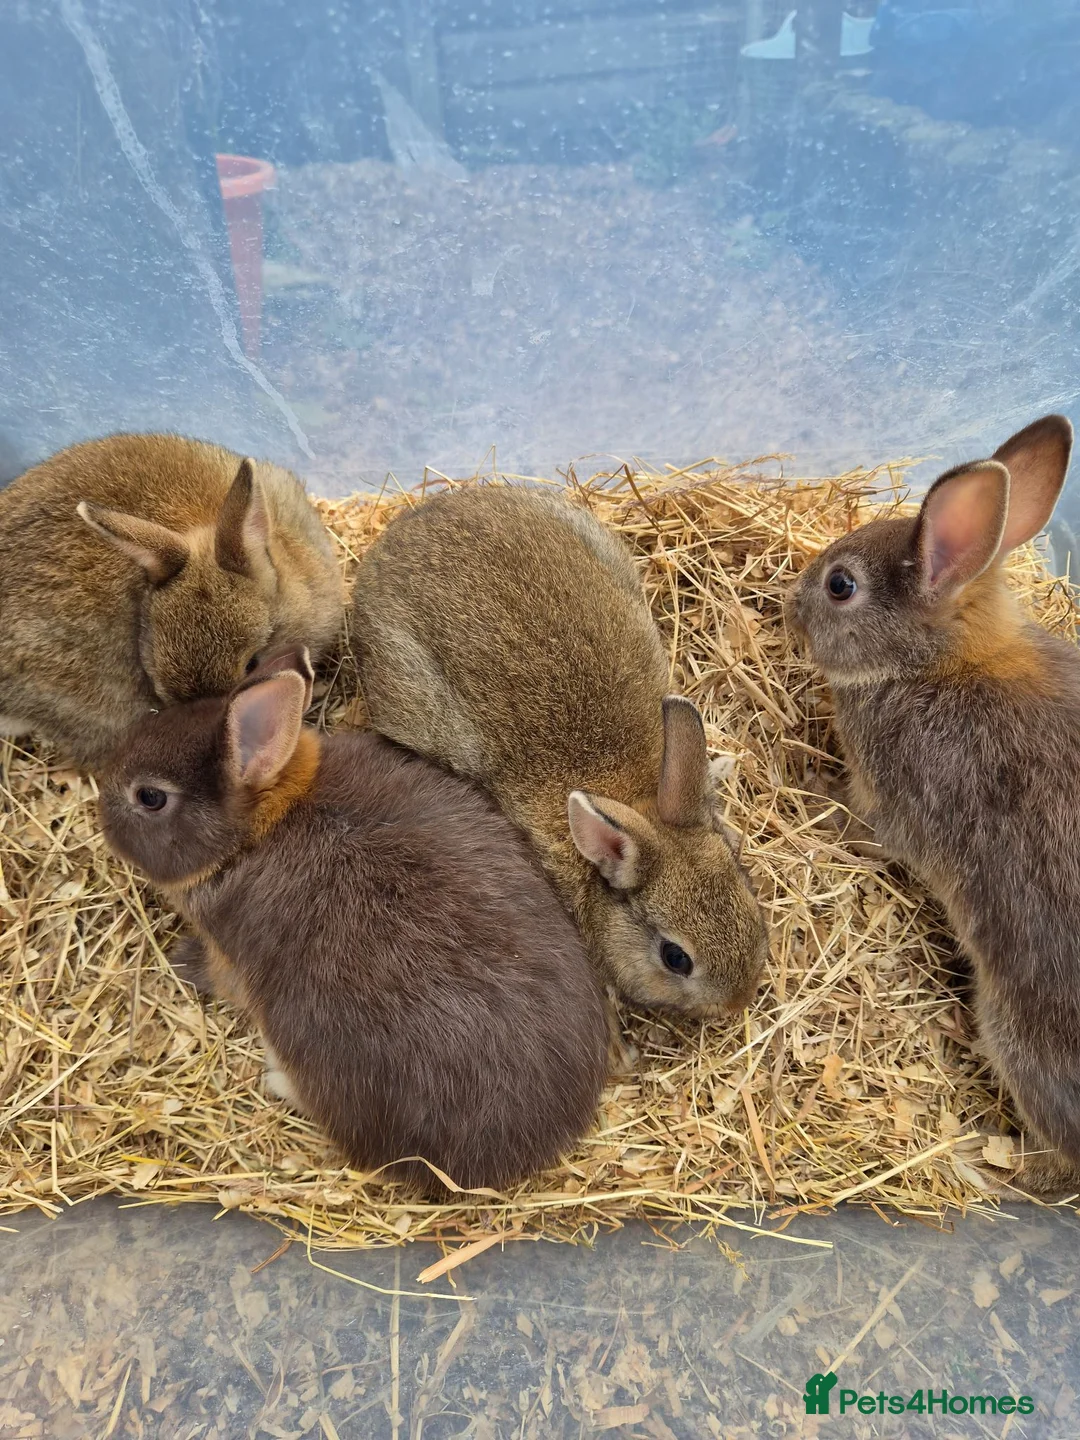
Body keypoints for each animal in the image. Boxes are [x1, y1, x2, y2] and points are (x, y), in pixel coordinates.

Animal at [788, 413, 1080, 1196]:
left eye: (841, 585)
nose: (789, 605)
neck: (937, 663)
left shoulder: (892, 806)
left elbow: (857, 827)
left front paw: (806, 785)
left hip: (1020, 1042)